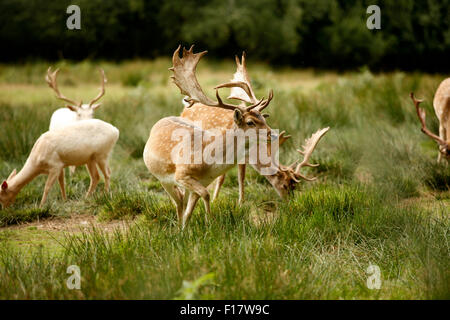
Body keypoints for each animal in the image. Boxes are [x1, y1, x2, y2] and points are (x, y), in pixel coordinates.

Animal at [180, 53, 330, 201]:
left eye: (295, 186)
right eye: (285, 185)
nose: (290, 201)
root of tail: (186, 108)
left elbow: (237, 177)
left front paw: (238, 202)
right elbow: (227, 177)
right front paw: (220, 201)